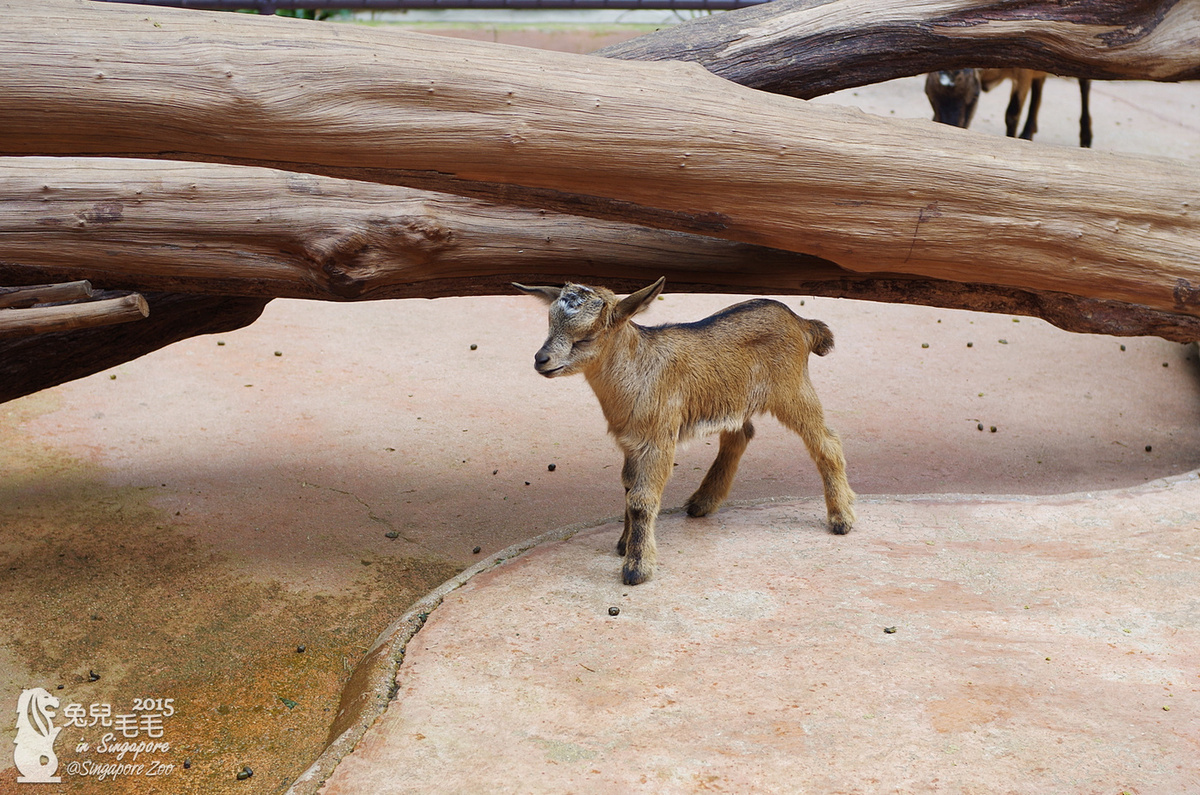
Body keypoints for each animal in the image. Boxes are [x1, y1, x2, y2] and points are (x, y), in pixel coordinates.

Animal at [516, 278, 854, 586]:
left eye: (587, 336)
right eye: (550, 325)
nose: (541, 359)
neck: (636, 371)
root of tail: (803, 324)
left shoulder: (658, 438)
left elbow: (641, 500)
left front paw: (637, 568)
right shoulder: (630, 443)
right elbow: (628, 487)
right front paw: (625, 545)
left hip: (792, 389)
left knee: (826, 441)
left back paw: (841, 518)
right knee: (740, 434)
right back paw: (702, 502)